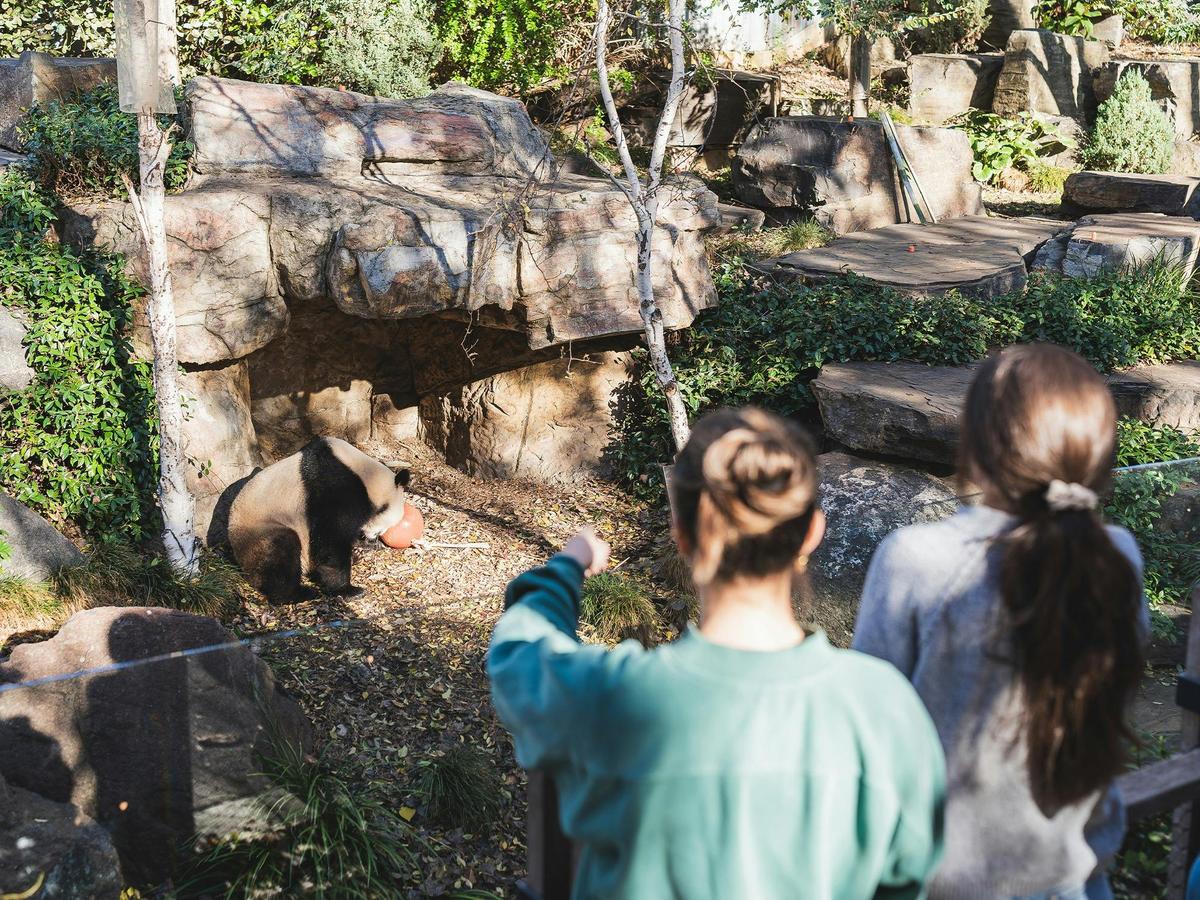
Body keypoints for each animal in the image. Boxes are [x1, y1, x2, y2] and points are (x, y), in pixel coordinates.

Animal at [228, 437, 411, 604]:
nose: (374, 538)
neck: (366, 475)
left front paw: (363, 548)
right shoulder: (335, 488)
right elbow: (331, 537)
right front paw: (347, 590)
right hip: (262, 529)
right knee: (280, 554)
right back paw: (298, 594)